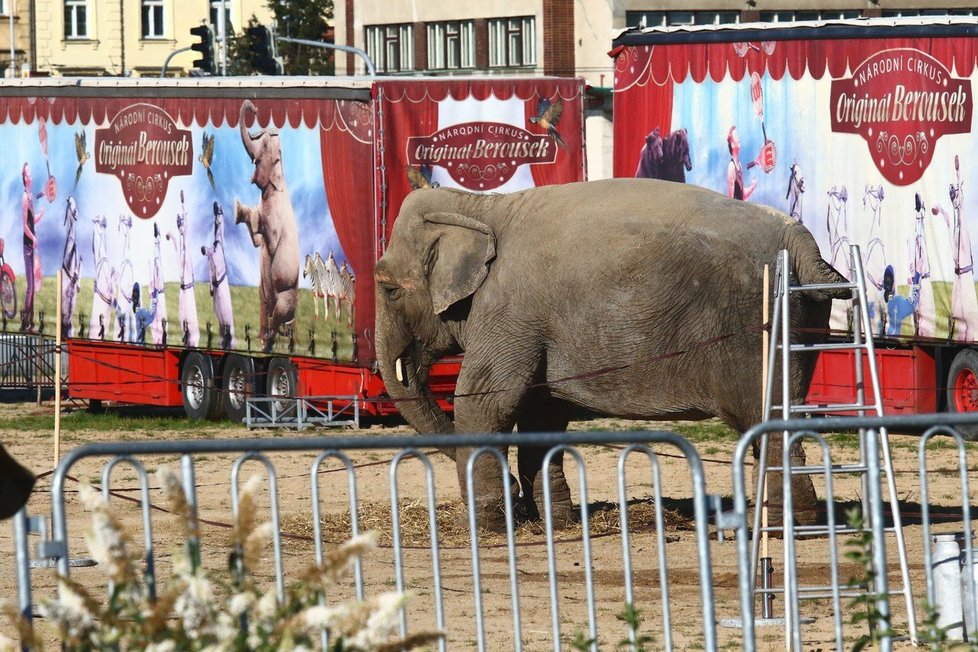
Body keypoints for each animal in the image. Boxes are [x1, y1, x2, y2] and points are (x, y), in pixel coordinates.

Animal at [234, 99, 300, 352]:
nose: (255, 109)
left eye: (257, 158)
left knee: (276, 315)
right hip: (263, 290)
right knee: (264, 305)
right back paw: (262, 340)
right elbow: (257, 243)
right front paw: (238, 209)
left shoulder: (276, 219)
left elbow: (266, 239)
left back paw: (267, 343)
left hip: (285, 296)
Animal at [378, 177, 852, 528]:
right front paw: (558, 523)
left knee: (764, 420)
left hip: (755, 323)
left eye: (386, 288)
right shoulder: (536, 326)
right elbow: (541, 412)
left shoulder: (507, 310)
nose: (515, 496)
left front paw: (487, 527)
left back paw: (776, 525)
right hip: (801, 319)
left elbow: (484, 402)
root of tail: (802, 240)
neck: (479, 206)